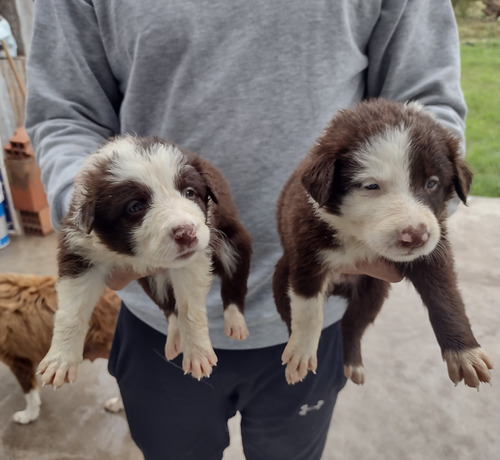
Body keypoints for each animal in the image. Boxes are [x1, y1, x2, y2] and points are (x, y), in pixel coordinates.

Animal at [38, 135, 254, 386]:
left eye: (190, 192)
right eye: (135, 207)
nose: (186, 233)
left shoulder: (195, 258)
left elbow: (191, 309)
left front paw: (198, 354)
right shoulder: (80, 254)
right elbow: (71, 313)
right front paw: (60, 361)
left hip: (233, 243)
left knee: (233, 284)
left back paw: (235, 323)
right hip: (153, 279)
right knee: (170, 308)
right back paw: (174, 339)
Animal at [276, 99, 494, 386]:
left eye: (432, 183)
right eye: (371, 186)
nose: (415, 236)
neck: (358, 238)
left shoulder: (433, 251)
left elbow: (445, 297)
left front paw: (465, 353)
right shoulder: (306, 252)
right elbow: (308, 310)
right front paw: (301, 353)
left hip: (373, 292)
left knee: (352, 324)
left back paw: (354, 364)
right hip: (282, 275)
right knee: (292, 317)